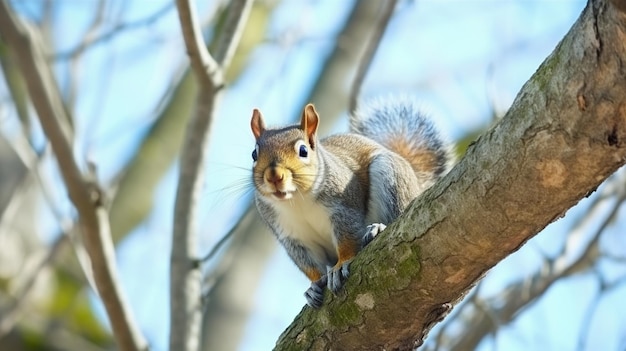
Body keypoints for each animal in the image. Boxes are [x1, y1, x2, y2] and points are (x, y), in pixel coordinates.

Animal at [250, 97, 454, 310]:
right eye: (254, 154)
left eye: (303, 151)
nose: (274, 176)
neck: (297, 201)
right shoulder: (291, 235)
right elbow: (307, 263)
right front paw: (313, 286)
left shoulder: (343, 208)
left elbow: (348, 238)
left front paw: (341, 265)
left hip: (391, 176)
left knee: (398, 217)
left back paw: (377, 229)